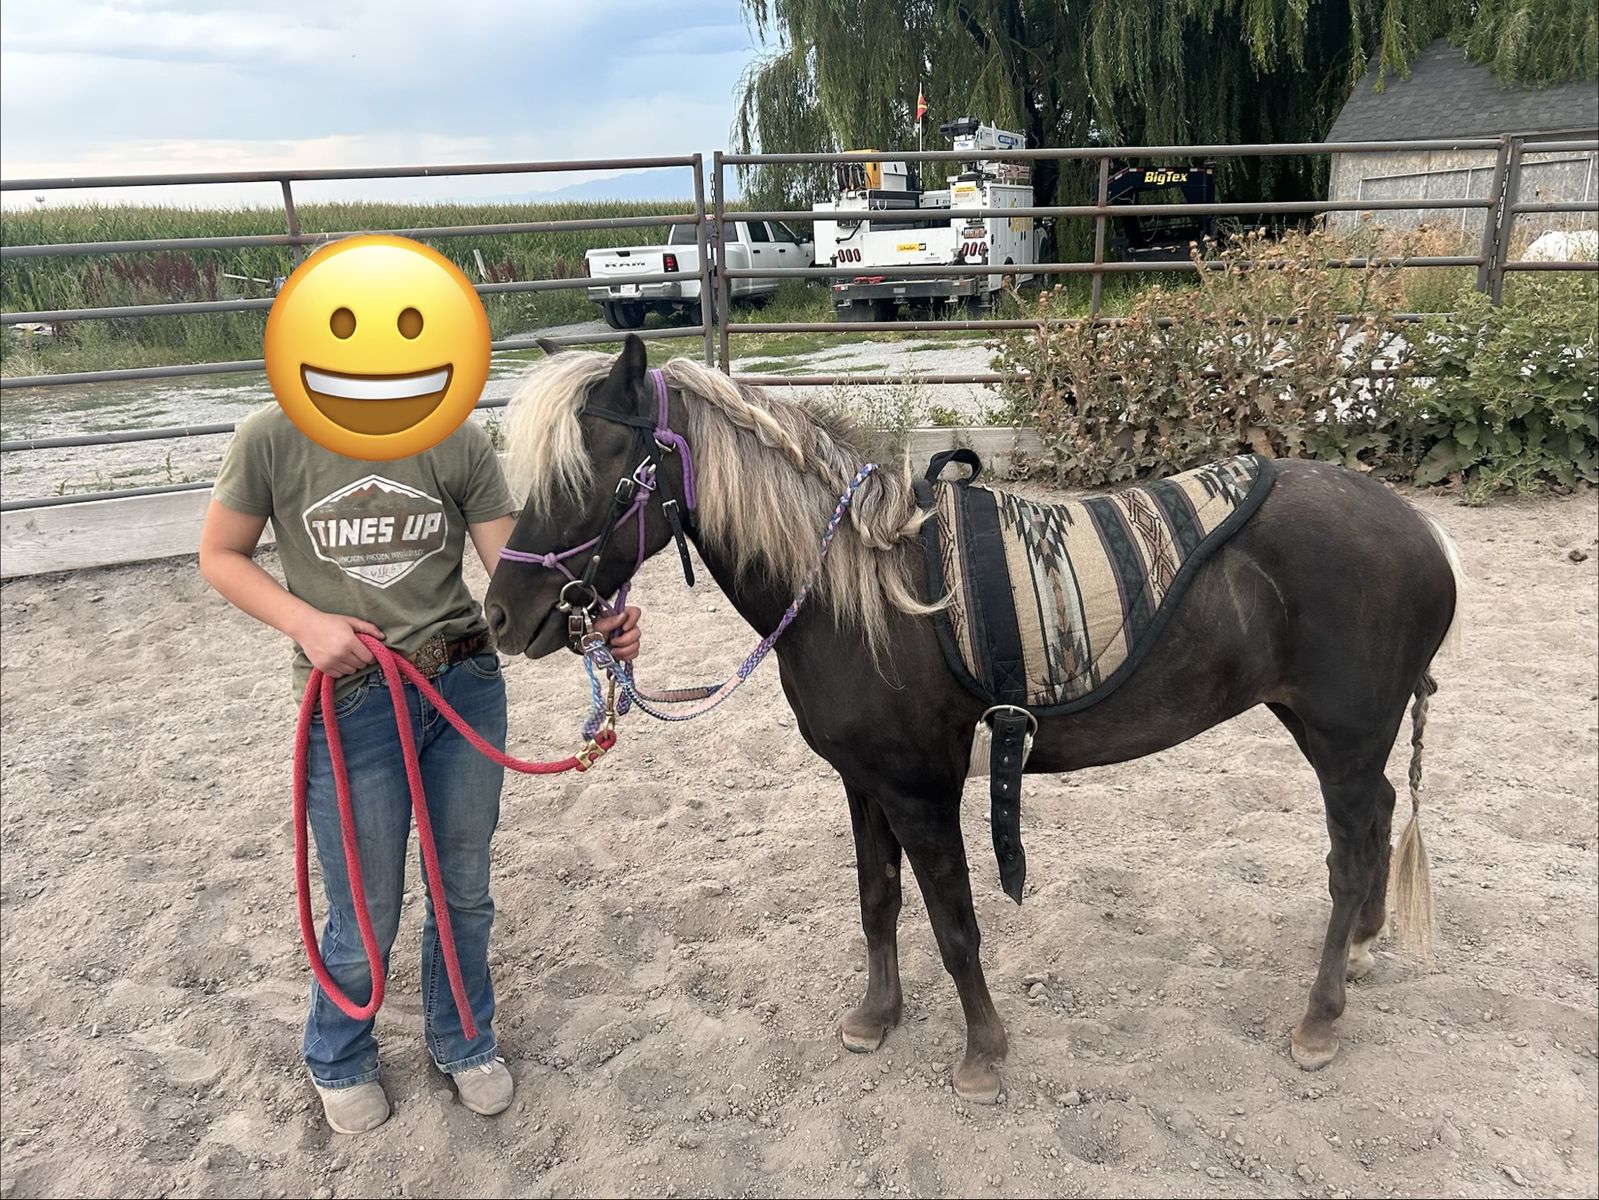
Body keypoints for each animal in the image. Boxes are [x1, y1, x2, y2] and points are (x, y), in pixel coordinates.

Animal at [483, 334, 1463, 1102]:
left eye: (602, 477)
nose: (500, 617)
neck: (860, 594)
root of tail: (1422, 534)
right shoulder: (863, 783)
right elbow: (877, 901)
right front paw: (875, 1018)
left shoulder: (921, 791)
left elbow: (953, 923)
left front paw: (982, 1057)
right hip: (1331, 734)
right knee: (1378, 822)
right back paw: (1362, 950)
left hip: (1341, 738)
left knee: (1349, 855)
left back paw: (1319, 1020)